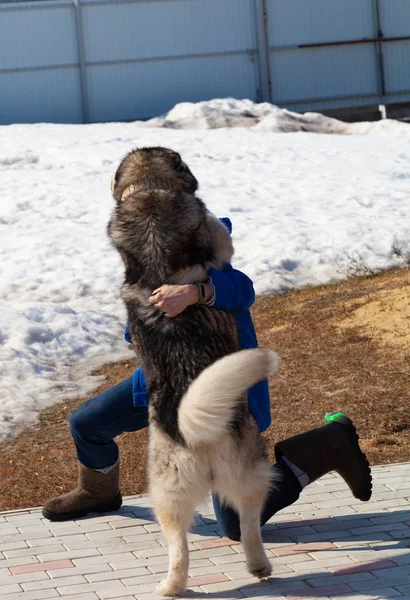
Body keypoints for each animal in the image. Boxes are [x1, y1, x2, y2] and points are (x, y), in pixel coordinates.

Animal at [107, 146, 280, 596]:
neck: (148, 190)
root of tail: (193, 428)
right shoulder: (217, 240)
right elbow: (222, 236)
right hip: (252, 467)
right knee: (249, 522)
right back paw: (259, 565)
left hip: (166, 493)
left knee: (178, 546)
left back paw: (172, 585)